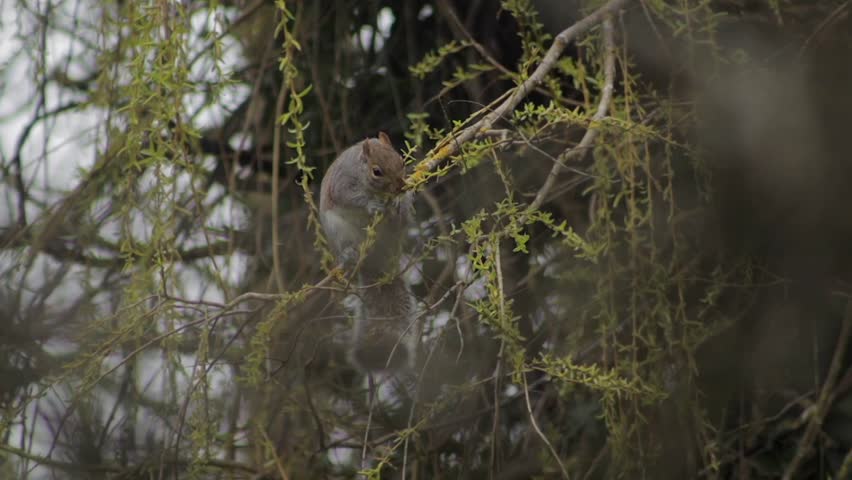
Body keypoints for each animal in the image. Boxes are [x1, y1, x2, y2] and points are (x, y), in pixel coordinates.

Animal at [319, 132, 417, 373]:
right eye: (377, 172)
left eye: (402, 161)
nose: (400, 187)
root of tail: (376, 262)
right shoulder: (342, 184)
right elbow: (353, 198)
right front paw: (372, 205)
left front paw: (398, 201)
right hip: (337, 230)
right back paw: (350, 254)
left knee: (400, 224)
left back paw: (398, 214)